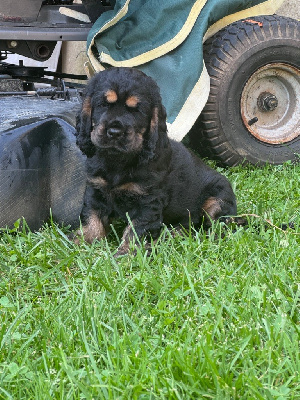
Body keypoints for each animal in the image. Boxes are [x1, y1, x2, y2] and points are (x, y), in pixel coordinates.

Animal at [75, 67, 237, 255]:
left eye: (136, 111)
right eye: (103, 104)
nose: (114, 132)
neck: (117, 160)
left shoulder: (148, 201)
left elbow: (137, 228)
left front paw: (127, 253)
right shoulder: (96, 188)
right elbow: (91, 216)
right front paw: (81, 241)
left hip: (216, 201)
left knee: (211, 226)